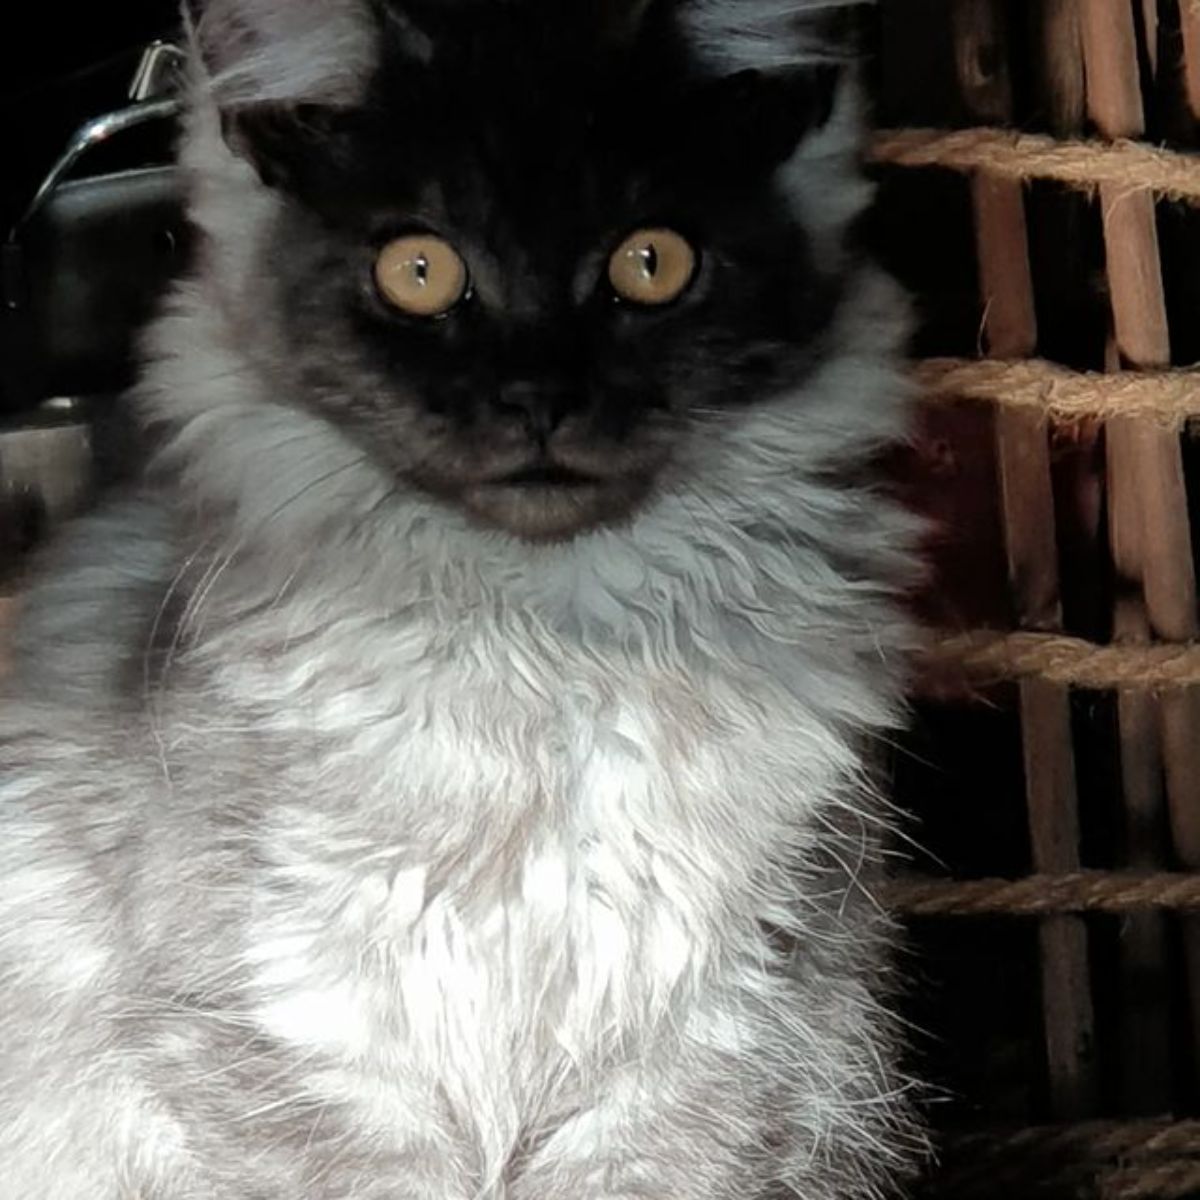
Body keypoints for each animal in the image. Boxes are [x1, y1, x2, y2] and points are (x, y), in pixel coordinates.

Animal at [0, 2, 926, 1200]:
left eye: (651, 261)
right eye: (420, 271)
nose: (538, 398)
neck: (549, 649)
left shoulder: (712, 1031)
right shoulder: (298, 1034)